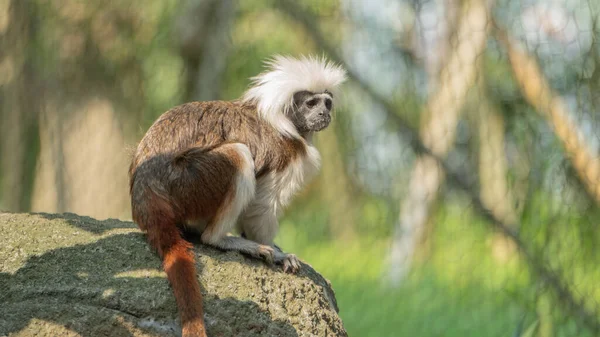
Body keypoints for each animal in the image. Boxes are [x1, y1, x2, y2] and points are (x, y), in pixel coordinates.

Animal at [129, 55, 350, 336]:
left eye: (327, 102)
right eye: (311, 103)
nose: (324, 114)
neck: (287, 123)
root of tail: (145, 191)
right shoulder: (285, 152)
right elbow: (262, 204)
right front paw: (276, 251)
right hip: (186, 185)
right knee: (238, 153)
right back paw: (221, 239)